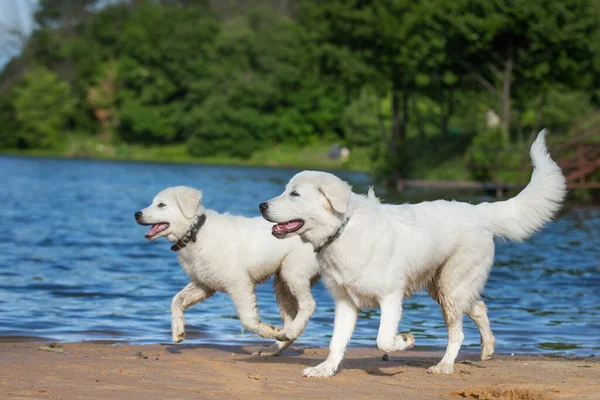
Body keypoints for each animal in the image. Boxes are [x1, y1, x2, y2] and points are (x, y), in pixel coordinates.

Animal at [135, 186, 318, 354]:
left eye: (161, 205)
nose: (137, 214)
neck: (195, 233)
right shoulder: (204, 284)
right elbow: (176, 300)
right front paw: (178, 332)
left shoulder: (239, 283)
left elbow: (247, 319)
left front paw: (268, 330)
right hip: (282, 284)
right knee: (292, 316)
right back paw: (276, 345)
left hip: (292, 272)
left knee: (309, 305)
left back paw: (282, 335)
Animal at [260, 130, 564, 376]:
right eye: (286, 191)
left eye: (295, 194)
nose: (262, 205)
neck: (343, 230)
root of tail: (479, 211)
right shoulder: (345, 303)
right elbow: (336, 342)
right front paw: (325, 370)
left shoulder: (391, 298)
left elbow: (383, 339)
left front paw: (405, 341)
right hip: (443, 287)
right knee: (479, 307)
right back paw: (487, 348)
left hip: (451, 288)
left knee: (458, 333)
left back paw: (444, 366)